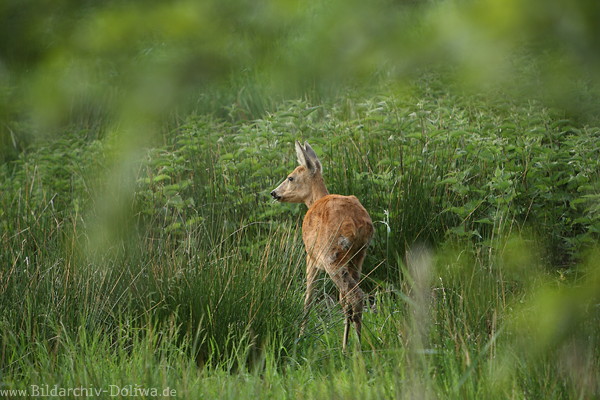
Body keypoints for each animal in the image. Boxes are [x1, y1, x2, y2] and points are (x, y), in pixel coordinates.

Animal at [270, 141, 372, 350]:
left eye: (290, 177)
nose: (274, 193)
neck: (314, 201)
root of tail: (357, 223)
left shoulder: (311, 256)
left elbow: (308, 297)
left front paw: (300, 336)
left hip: (331, 254)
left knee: (355, 296)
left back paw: (354, 348)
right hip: (358, 255)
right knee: (348, 298)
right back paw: (350, 345)